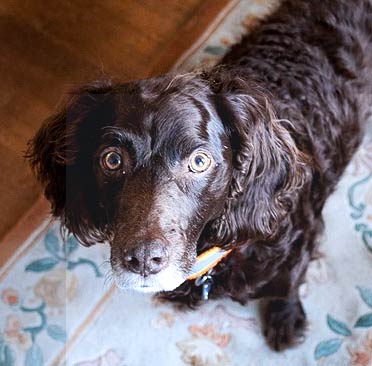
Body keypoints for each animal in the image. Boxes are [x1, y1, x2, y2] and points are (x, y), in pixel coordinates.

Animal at [26, 0, 372, 350]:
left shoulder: (300, 239)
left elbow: (285, 285)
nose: (143, 260)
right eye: (112, 159)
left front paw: (284, 320)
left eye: (199, 161)